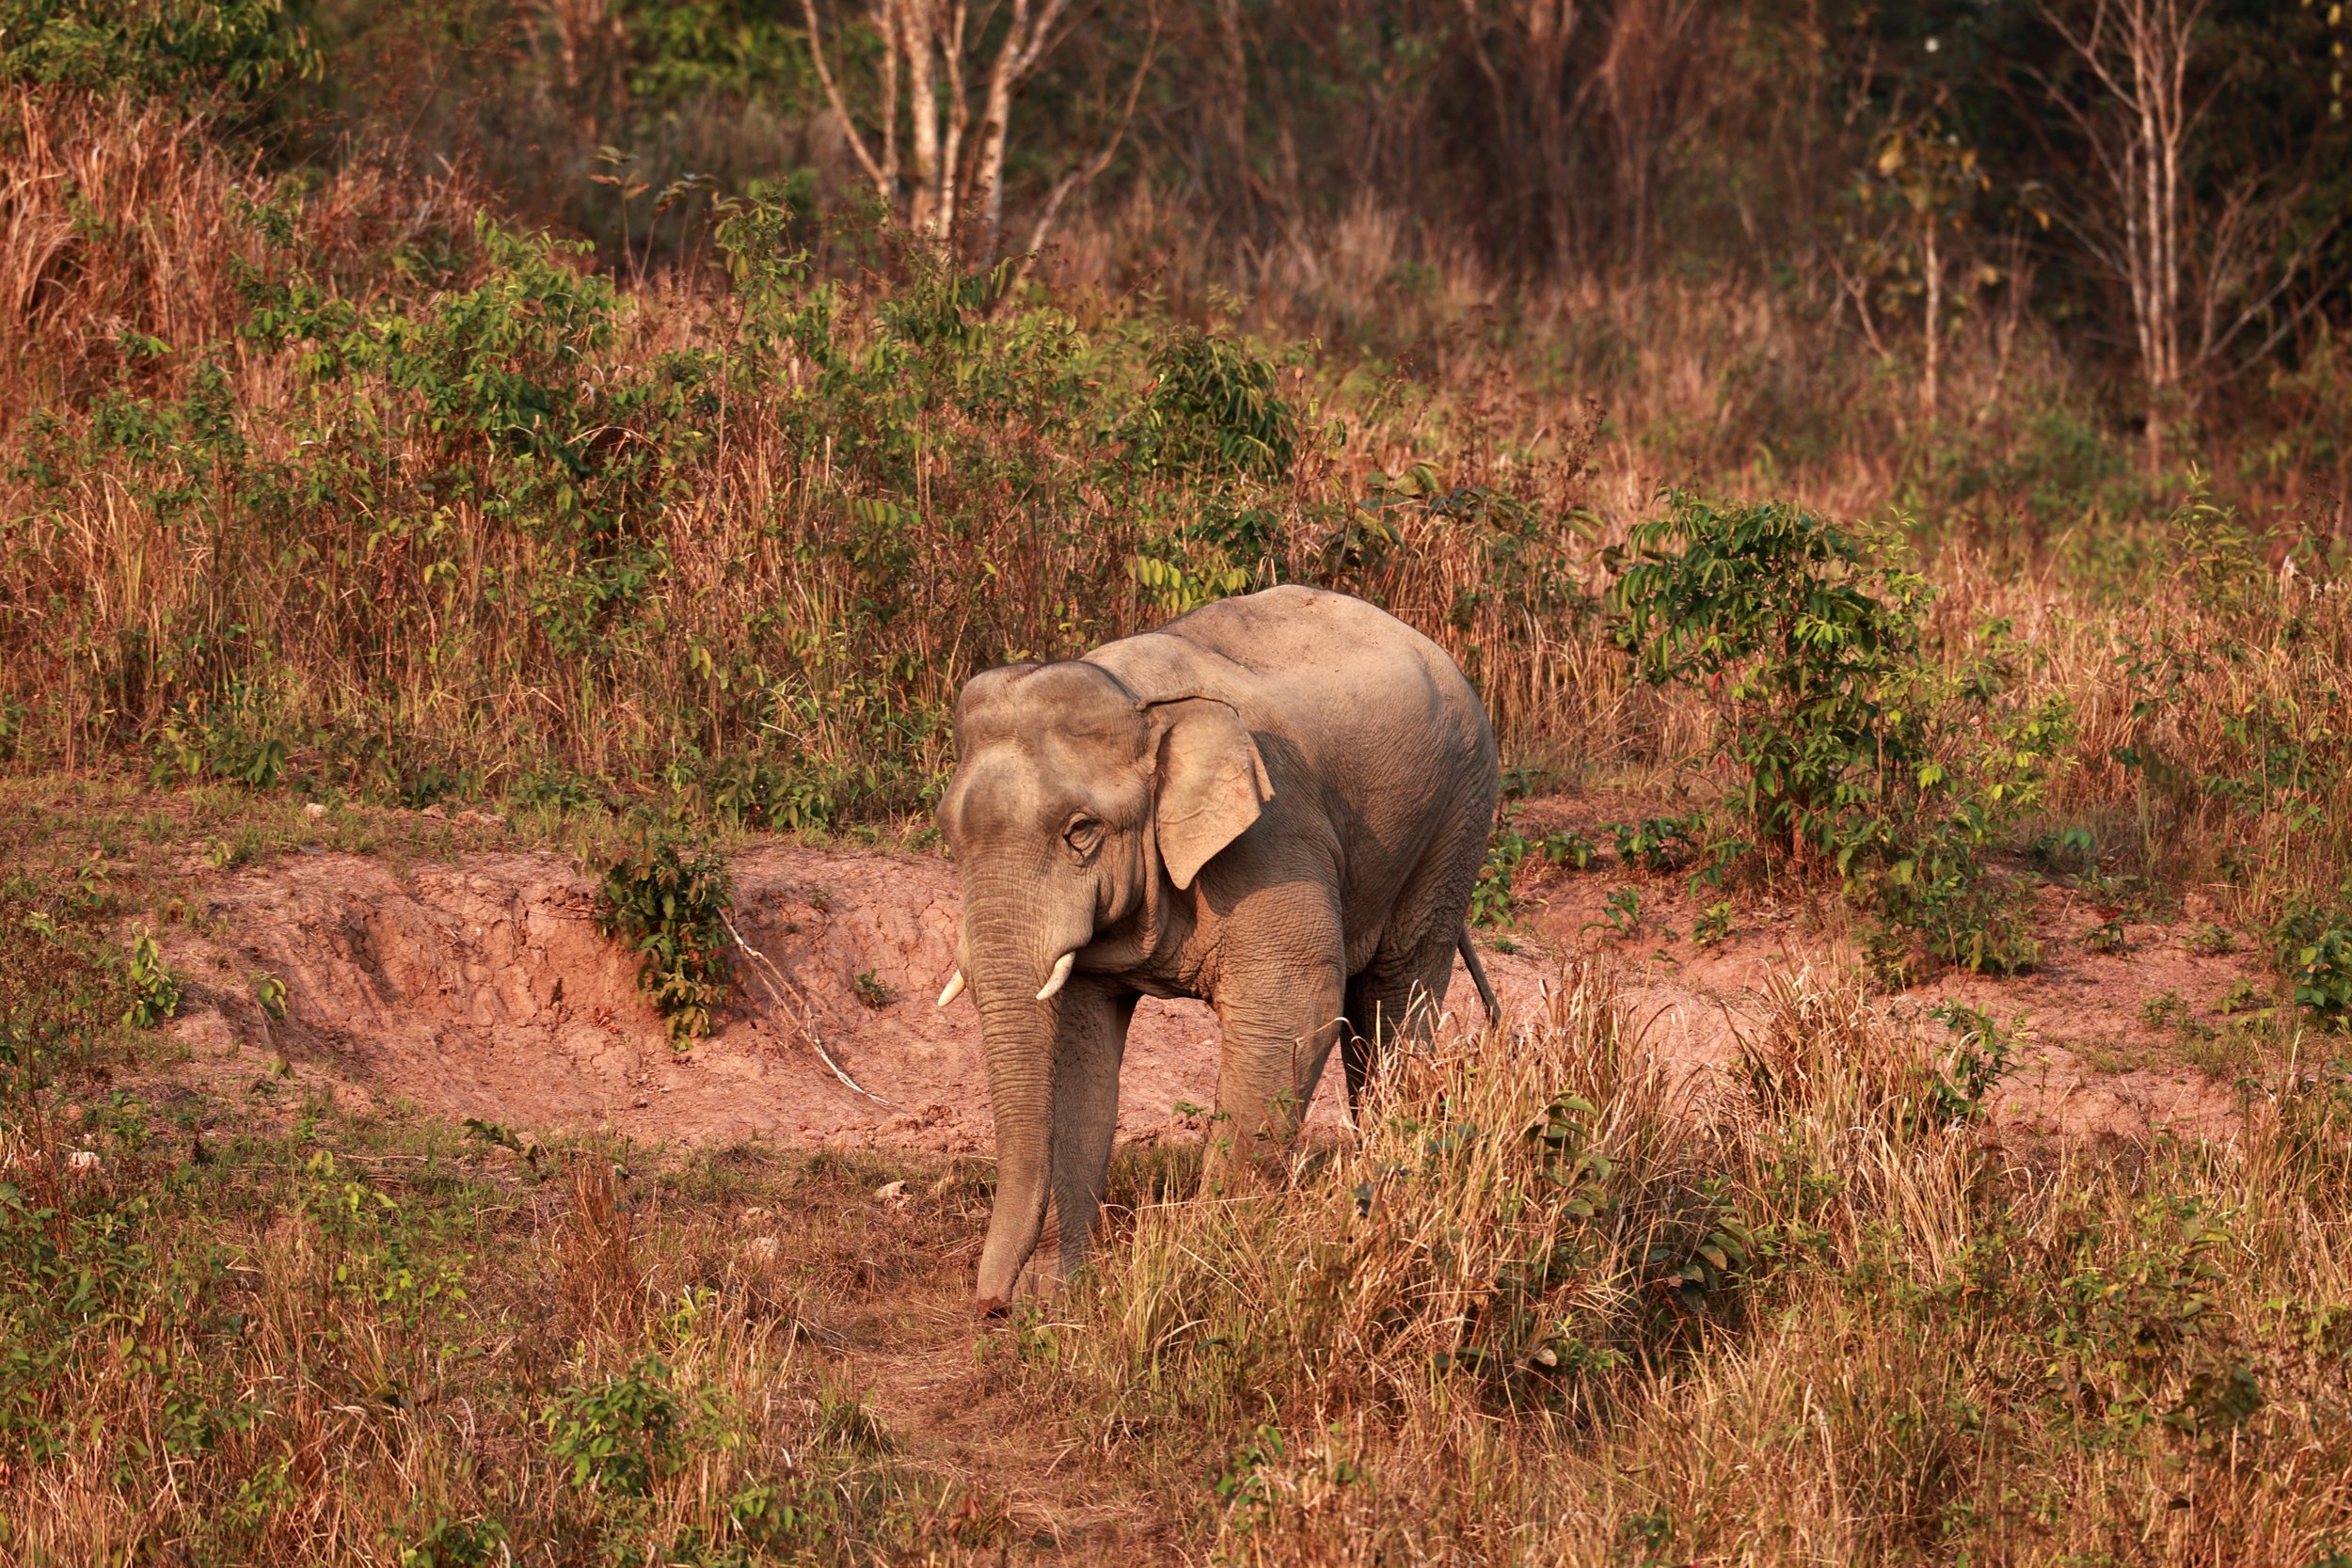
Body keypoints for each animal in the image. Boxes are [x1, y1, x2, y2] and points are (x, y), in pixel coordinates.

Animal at [934, 584, 1502, 1314]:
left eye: (1081, 830)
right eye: (949, 833)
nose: (991, 1305)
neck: (1139, 702)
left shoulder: (1272, 839)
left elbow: (1293, 1005)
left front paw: (1209, 1273)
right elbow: (1078, 1044)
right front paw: (1053, 1299)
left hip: (1459, 815)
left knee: (1397, 988)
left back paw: (1389, 1188)